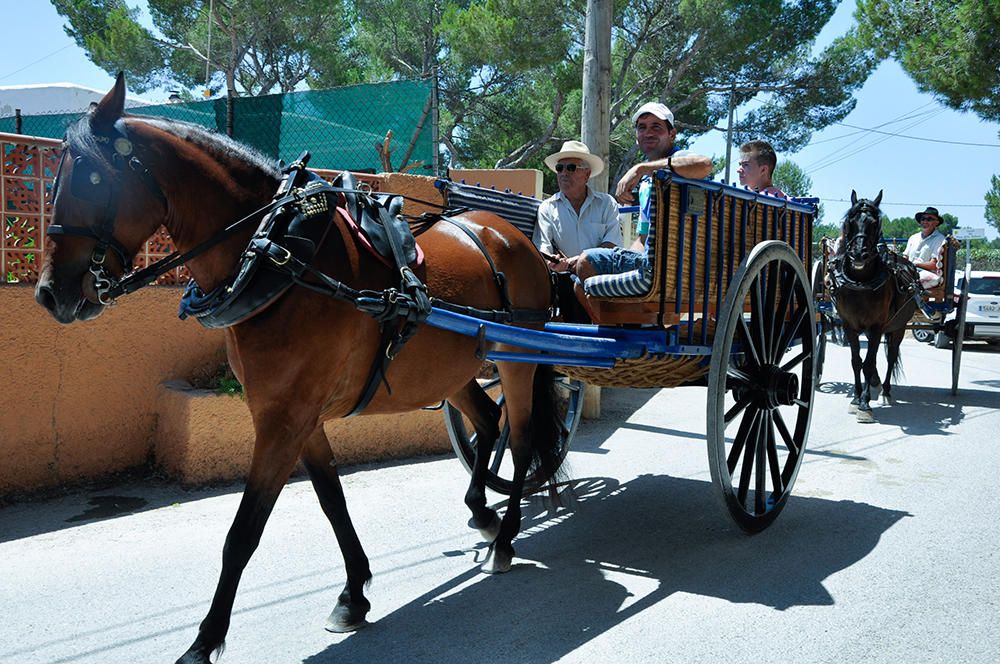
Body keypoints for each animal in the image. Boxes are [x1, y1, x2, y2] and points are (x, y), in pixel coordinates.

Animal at [33, 74, 564, 664]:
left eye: (93, 177)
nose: (50, 294)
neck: (277, 255)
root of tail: (511, 236)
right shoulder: (297, 416)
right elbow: (332, 500)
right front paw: (354, 594)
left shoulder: (284, 420)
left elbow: (243, 532)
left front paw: (205, 639)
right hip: (454, 368)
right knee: (489, 422)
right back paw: (482, 512)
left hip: (518, 359)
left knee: (521, 438)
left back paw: (507, 536)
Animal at [824, 189, 916, 422]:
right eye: (850, 221)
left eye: (875, 223)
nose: (859, 254)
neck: (860, 283)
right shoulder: (849, 325)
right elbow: (857, 362)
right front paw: (856, 398)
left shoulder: (876, 327)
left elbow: (867, 363)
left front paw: (865, 403)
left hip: (898, 326)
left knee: (891, 356)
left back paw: (886, 391)